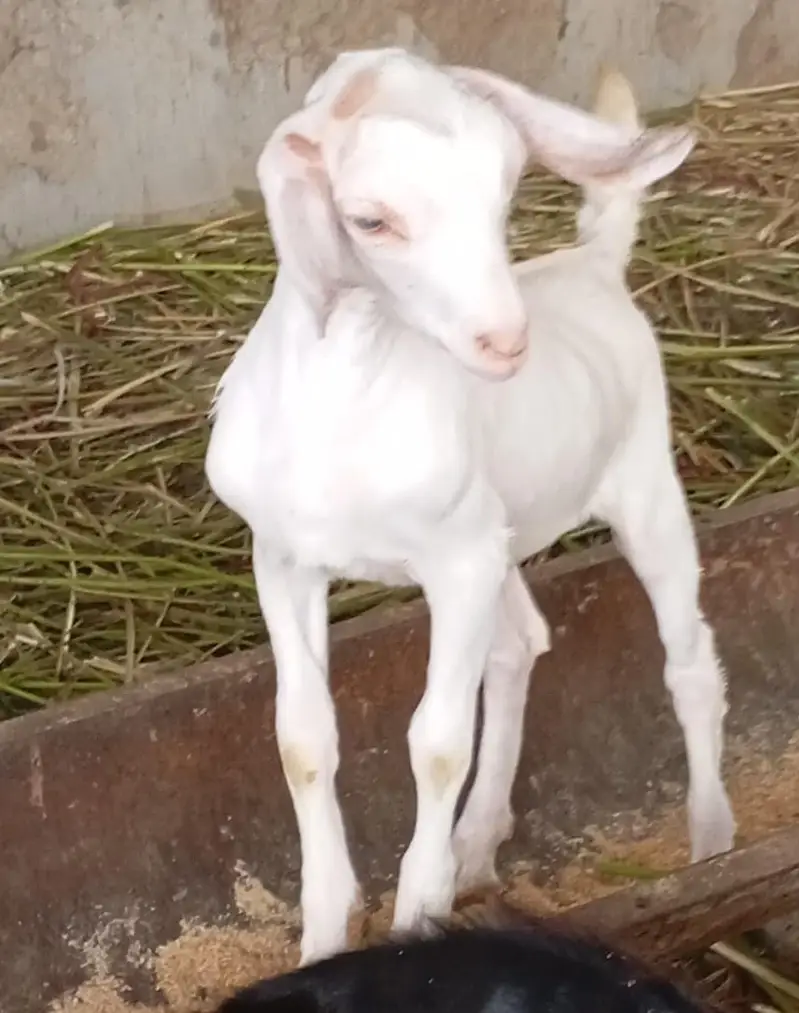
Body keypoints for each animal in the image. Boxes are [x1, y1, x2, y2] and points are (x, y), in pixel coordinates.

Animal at [204, 48, 735, 965]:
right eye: (370, 219)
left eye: (506, 189)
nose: (505, 342)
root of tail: (591, 263)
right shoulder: (285, 557)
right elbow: (302, 739)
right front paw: (323, 936)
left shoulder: (454, 565)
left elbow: (436, 742)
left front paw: (419, 911)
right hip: (502, 534)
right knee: (520, 644)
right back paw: (478, 842)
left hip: (640, 486)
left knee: (689, 659)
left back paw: (708, 840)